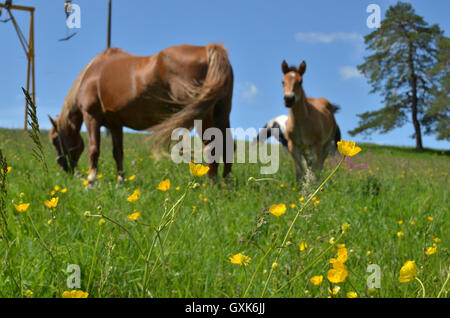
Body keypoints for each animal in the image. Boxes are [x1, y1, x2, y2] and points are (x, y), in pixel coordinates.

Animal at [49, 44, 234, 184]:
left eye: (55, 140)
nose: (63, 169)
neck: (92, 73)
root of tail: (208, 49)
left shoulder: (91, 117)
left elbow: (94, 150)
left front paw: (91, 181)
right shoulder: (115, 124)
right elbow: (118, 153)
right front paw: (120, 181)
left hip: (203, 117)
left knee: (212, 147)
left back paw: (210, 185)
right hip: (221, 115)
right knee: (227, 146)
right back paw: (225, 183)